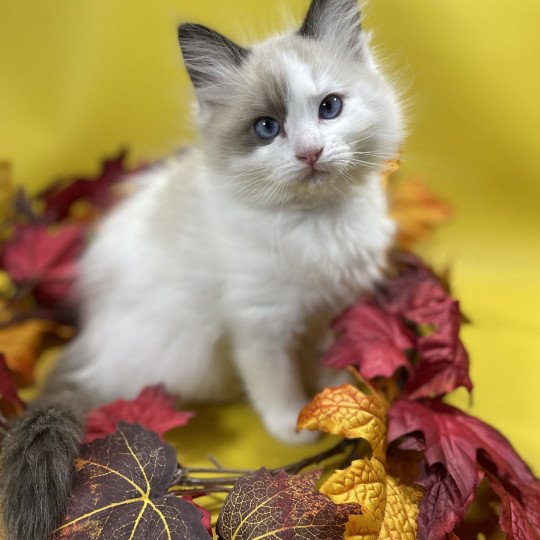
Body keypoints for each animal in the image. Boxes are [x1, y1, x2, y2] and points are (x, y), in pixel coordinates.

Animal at [0, 1, 402, 536]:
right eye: (267, 128)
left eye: (329, 108)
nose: (310, 152)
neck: (316, 222)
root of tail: (90, 341)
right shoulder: (260, 323)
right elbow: (275, 384)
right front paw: (296, 424)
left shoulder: (335, 303)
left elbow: (332, 358)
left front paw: (339, 396)